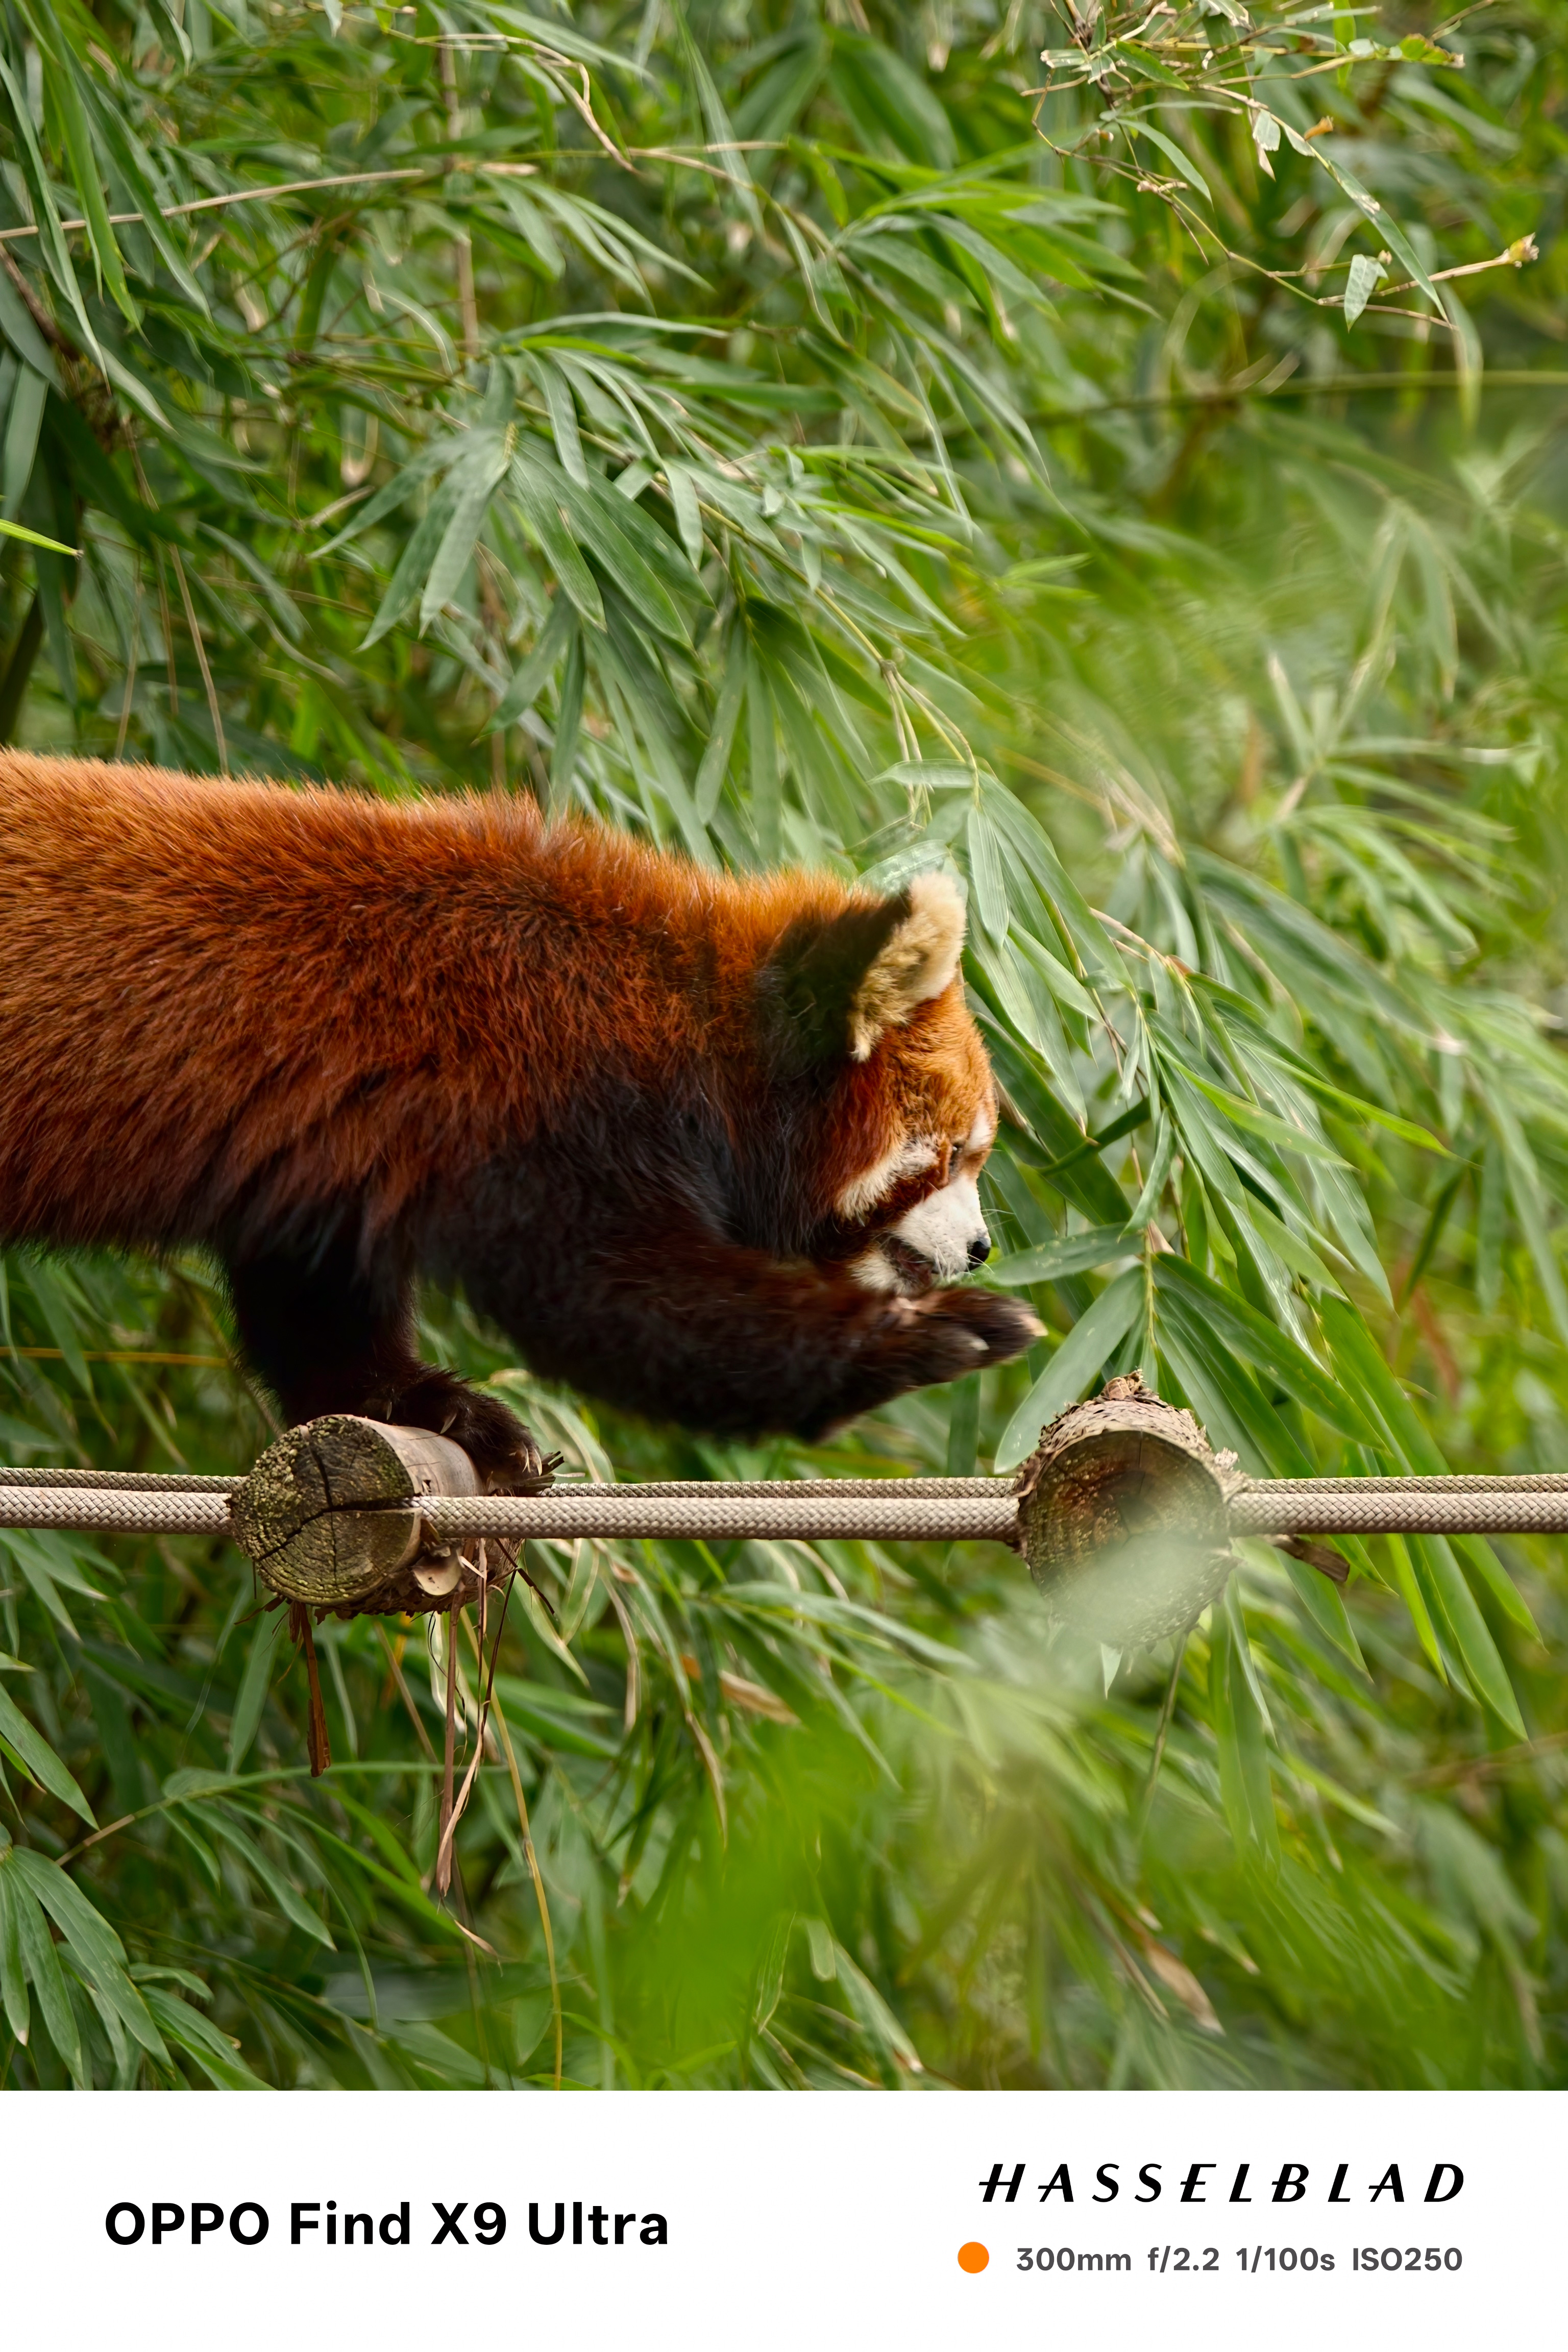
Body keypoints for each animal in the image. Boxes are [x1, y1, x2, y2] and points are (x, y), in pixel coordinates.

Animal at [0, 754, 1039, 1485]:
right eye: (953, 1153)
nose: (981, 1247)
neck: (688, 1019)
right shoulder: (546, 1103)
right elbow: (626, 1300)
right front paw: (928, 1337)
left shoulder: (325, 1154)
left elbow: (316, 1305)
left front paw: (426, 1407)